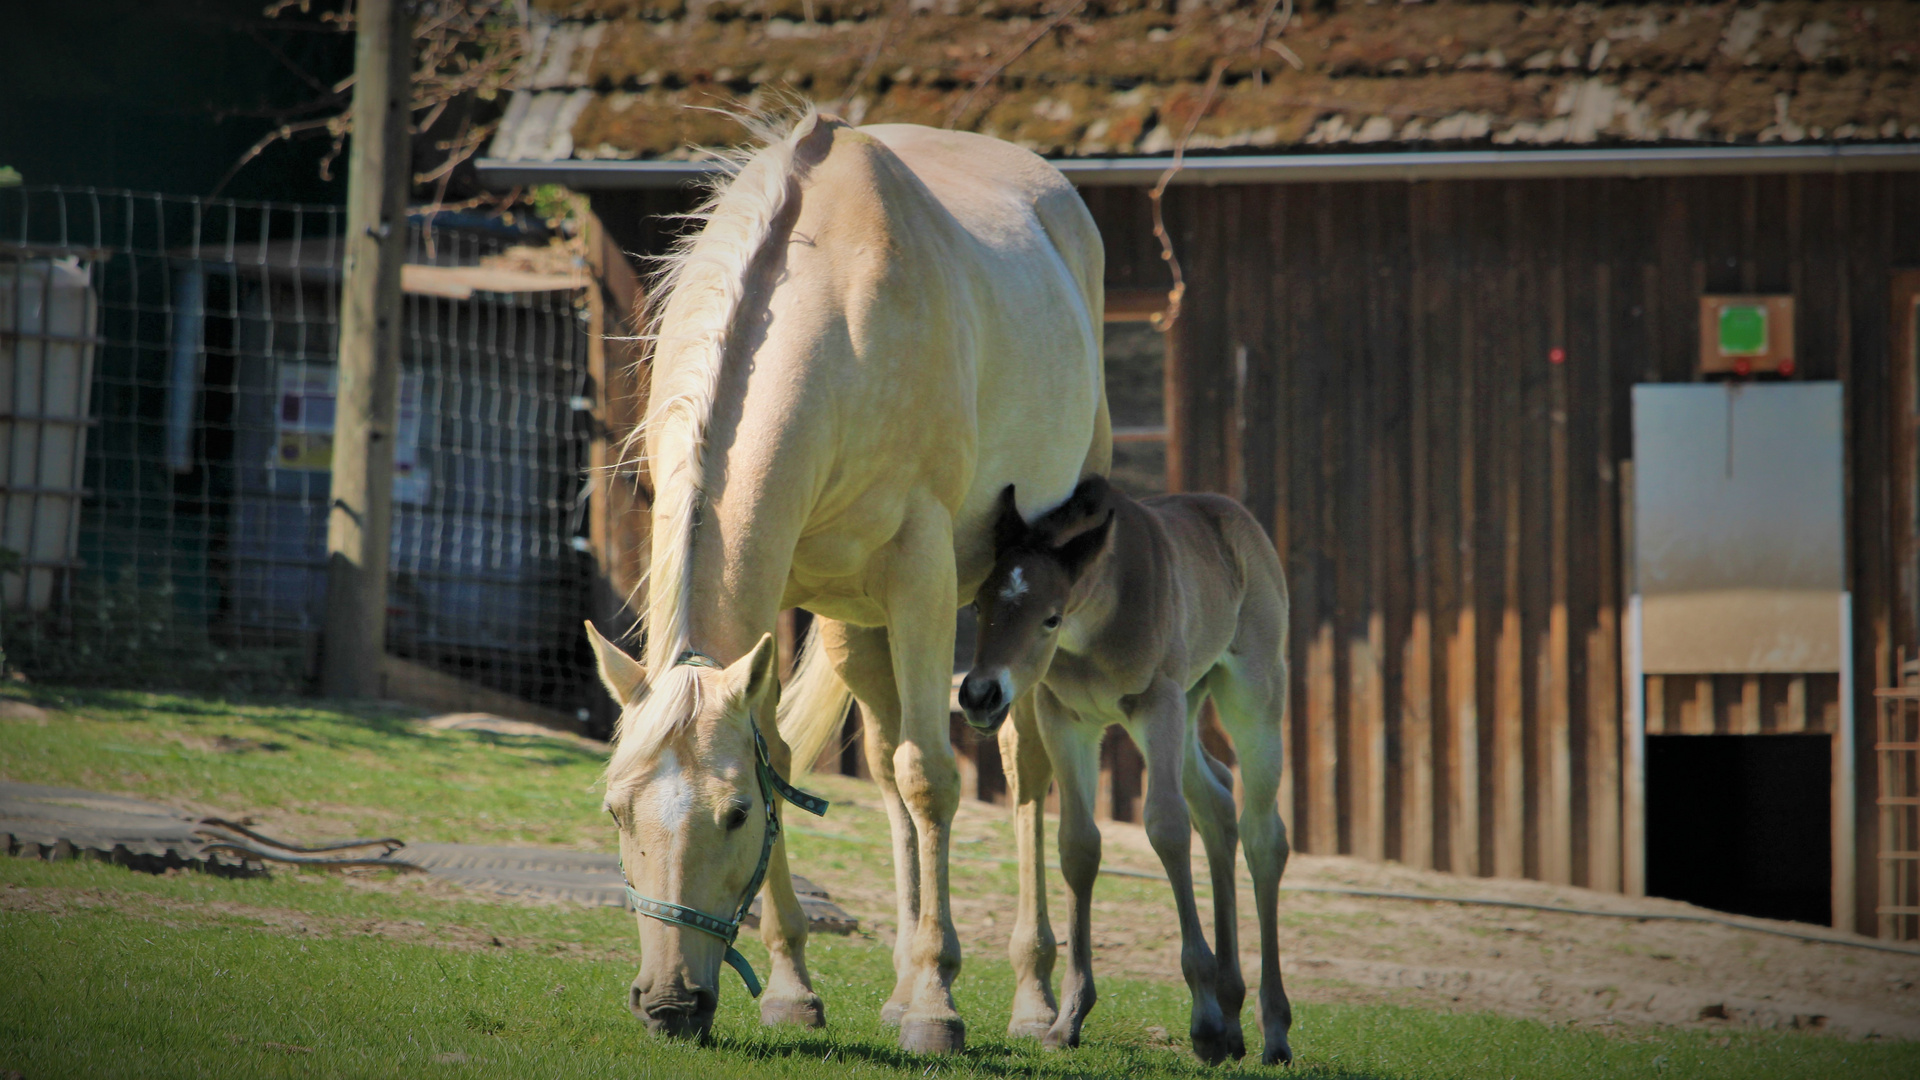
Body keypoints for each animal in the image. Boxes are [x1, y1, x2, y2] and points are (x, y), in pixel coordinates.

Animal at [591, 111, 1121, 1053]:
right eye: (619, 811)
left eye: (734, 816)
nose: (668, 1006)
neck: (832, 304)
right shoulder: (783, 598)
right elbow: (790, 758)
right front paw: (795, 990)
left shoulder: (922, 573)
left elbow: (931, 776)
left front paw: (939, 1007)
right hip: (854, 621)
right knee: (880, 760)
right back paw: (901, 987)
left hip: (1009, 615)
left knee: (1018, 767)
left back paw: (1028, 999)